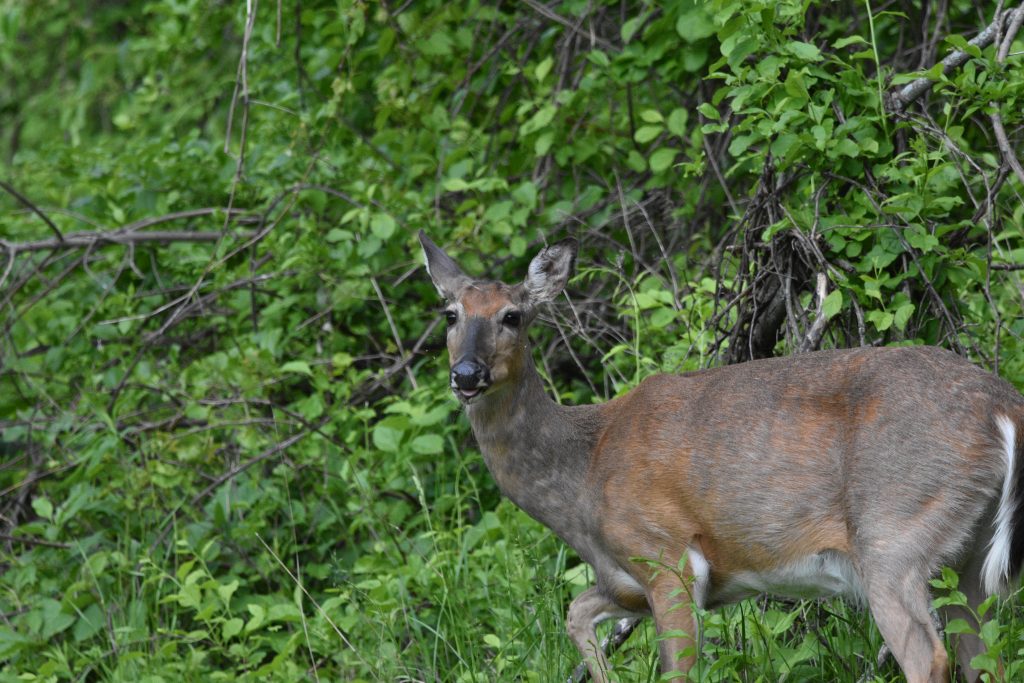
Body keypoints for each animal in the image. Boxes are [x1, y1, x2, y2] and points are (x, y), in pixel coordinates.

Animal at [418, 230, 1024, 683]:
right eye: (450, 314)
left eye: (512, 316)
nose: (466, 374)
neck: (585, 471)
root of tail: (1005, 405)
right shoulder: (623, 582)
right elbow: (575, 613)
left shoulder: (666, 556)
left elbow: (676, 671)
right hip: (964, 557)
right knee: (985, 657)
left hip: (894, 532)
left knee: (930, 657)